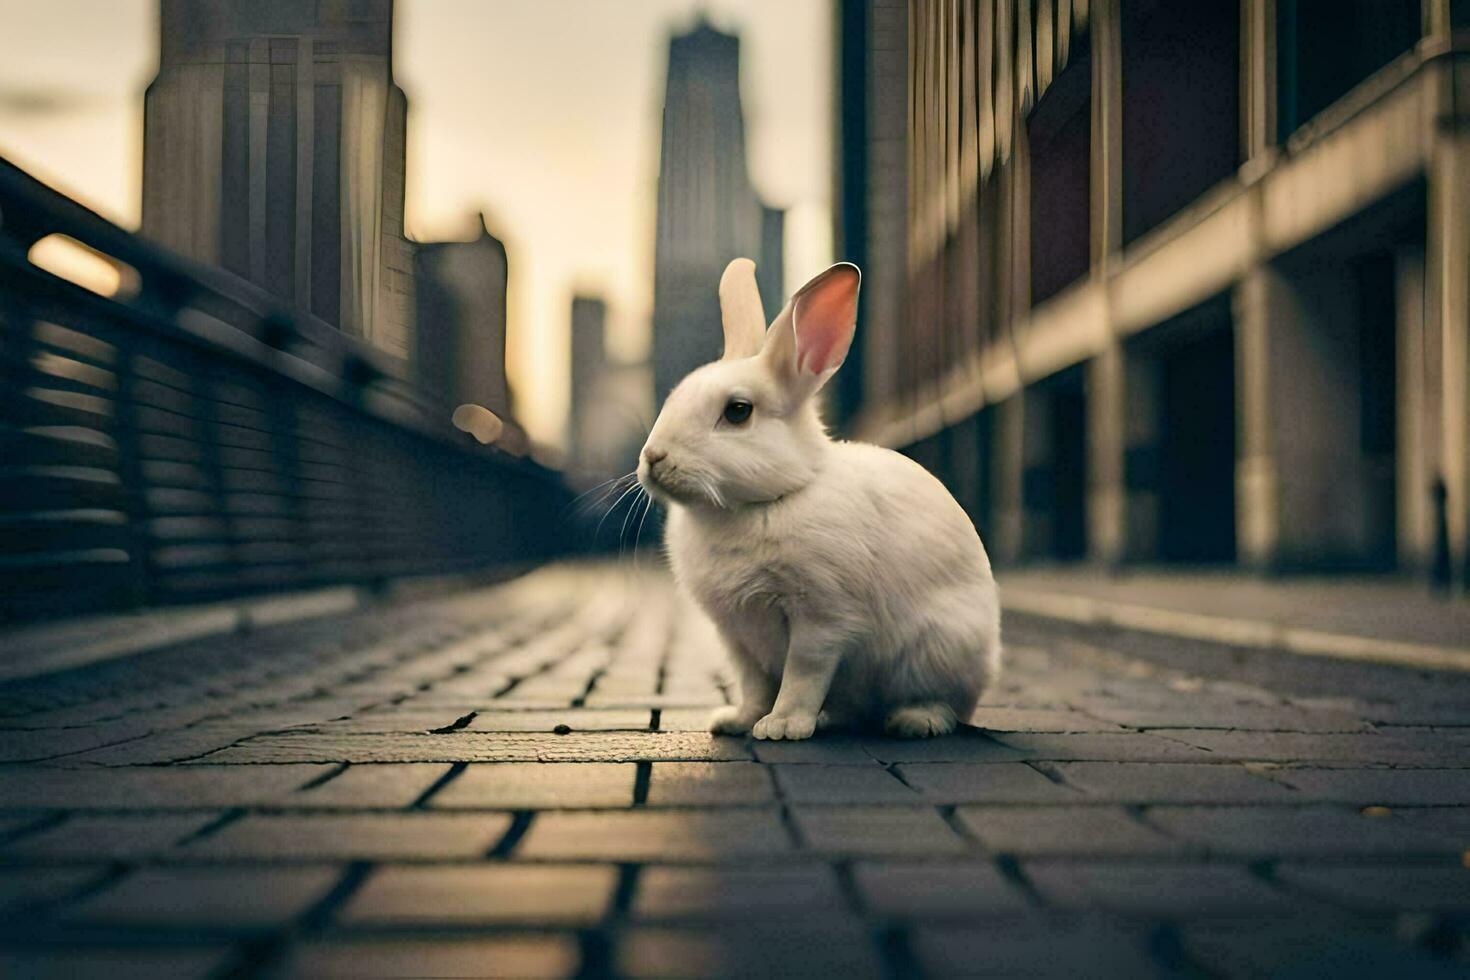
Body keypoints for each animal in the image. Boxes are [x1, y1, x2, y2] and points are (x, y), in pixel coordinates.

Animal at [637, 257, 1005, 740]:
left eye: (738, 412)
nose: (653, 458)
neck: (764, 502)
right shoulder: (738, 635)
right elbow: (754, 683)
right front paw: (737, 721)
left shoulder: (822, 620)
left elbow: (802, 676)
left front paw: (781, 726)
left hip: (939, 650)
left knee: (946, 702)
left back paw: (915, 720)